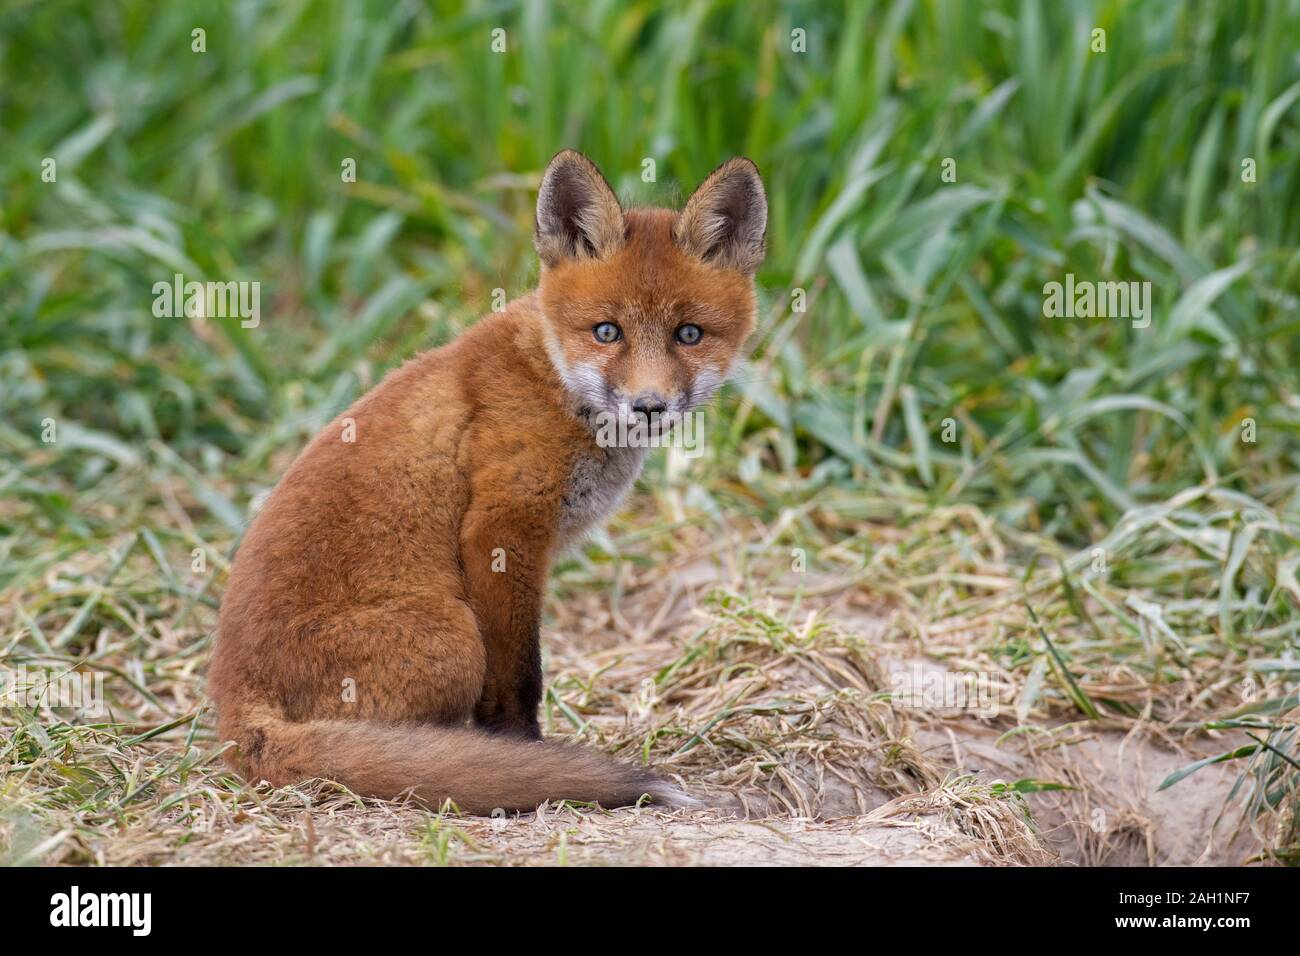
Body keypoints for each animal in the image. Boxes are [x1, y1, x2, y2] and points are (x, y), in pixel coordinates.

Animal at [208, 150, 767, 814]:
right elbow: (518, 679)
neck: (552, 381)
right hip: (454, 638)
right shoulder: (502, 530)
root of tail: (233, 713)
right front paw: (525, 753)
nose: (649, 406)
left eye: (689, 334)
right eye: (608, 332)